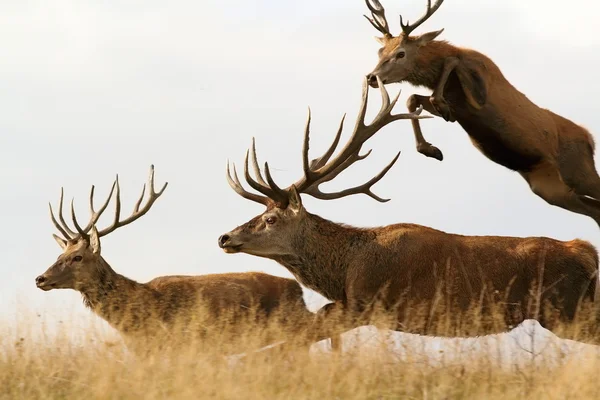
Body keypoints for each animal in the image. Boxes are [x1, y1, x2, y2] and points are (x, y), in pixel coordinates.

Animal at [218, 79, 600, 346]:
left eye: (271, 219)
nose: (225, 237)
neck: (344, 270)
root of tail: (586, 251)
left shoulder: (367, 302)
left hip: (563, 308)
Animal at [364, 0, 600, 228]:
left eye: (401, 53)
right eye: (380, 52)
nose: (371, 77)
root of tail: (590, 140)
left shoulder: (479, 96)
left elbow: (451, 62)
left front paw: (438, 108)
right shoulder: (459, 110)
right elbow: (413, 99)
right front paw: (431, 149)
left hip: (579, 171)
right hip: (551, 189)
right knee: (593, 210)